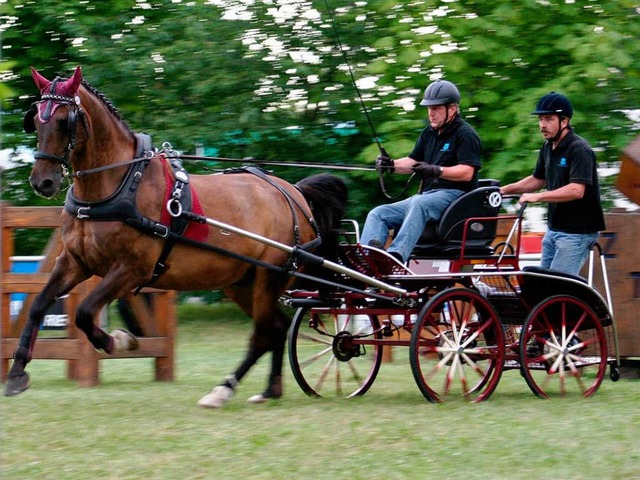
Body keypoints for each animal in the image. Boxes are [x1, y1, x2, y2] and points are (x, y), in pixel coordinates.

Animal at [5, 65, 348, 406]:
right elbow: (38, 306)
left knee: (265, 332)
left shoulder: (131, 269)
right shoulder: (75, 261)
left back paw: (225, 389)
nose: (42, 182)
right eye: (36, 119)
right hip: (241, 281)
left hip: (269, 277)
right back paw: (268, 390)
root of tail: (295, 194)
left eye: (65, 121)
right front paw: (16, 373)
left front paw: (120, 341)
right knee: (276, 328)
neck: (120, 183)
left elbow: (85, 311)